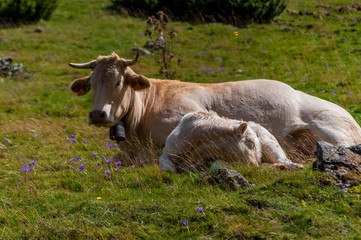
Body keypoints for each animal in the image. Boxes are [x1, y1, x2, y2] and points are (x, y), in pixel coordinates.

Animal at [158, 110, 300, 172]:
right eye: (250, 142)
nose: (254, 163)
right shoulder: (166, 154)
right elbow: (169, 169)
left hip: (270, 144)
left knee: (285, 161)